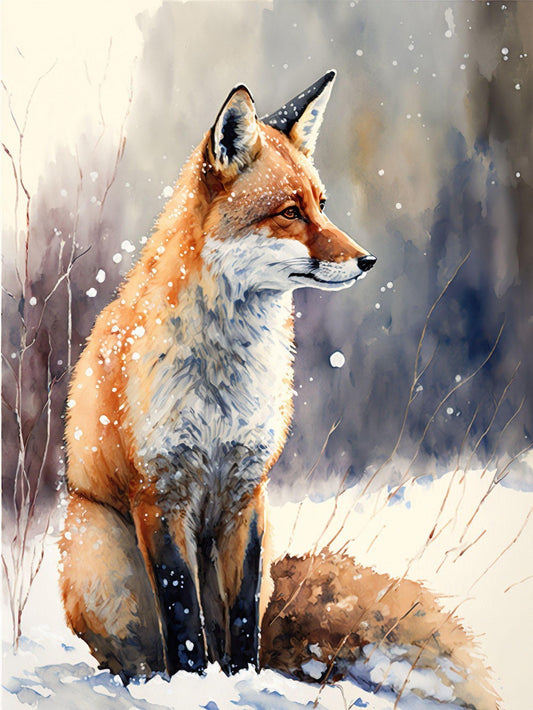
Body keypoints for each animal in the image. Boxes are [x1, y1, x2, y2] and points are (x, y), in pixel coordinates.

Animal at [59, 71, 499, 709]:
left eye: (322, 205)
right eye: (290, 212)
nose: (368, 260)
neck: (224, 379)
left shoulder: (249, 492)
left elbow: (241, 617)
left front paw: (242, 681)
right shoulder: (160, 496)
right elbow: (183, 619)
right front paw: (193, 686)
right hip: (98, 552)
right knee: (140, 651)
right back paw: (148, 680)